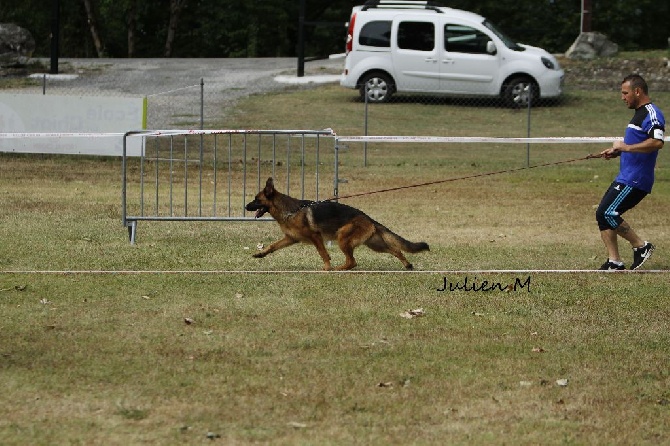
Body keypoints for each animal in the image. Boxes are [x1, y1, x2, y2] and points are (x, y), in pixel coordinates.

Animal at [247, 179, 430, 270]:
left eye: (256, 199)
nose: (245, 207)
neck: (289, 210)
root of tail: (368, 218)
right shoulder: (291, 239)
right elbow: (272, 246)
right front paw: (260, 253)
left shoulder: (315, 237)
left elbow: (323, 253)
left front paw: (327, 268)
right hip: (375, 244)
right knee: (396, 250)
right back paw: (407, 265)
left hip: (343, 237)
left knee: (352, 262)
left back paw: (338, 269)